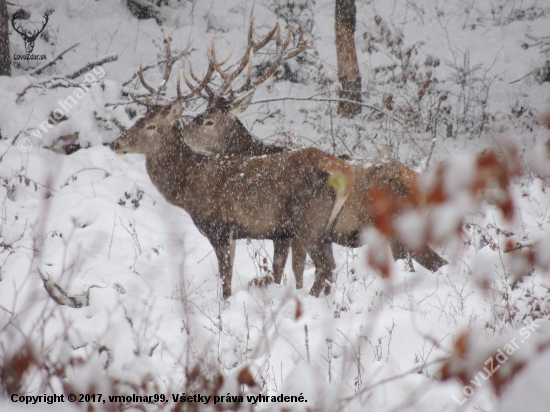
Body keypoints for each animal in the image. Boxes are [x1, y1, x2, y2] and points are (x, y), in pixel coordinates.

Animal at [112, 37, 356, 298]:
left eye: (151, 126)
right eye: (138, 120)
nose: (116, 143)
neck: (189, 187)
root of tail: (343, 174)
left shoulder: (220, 227)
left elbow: (225, 279)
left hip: (309, 220)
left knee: (325, 266)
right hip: (323, 227)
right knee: (329, 267)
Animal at [179, 26, 450, 286]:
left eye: (210, 121)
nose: (182, 133)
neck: (255, 153)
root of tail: (419, 182)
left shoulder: (285, 231)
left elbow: (284, 270)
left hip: (397, 225)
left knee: (435, 263)